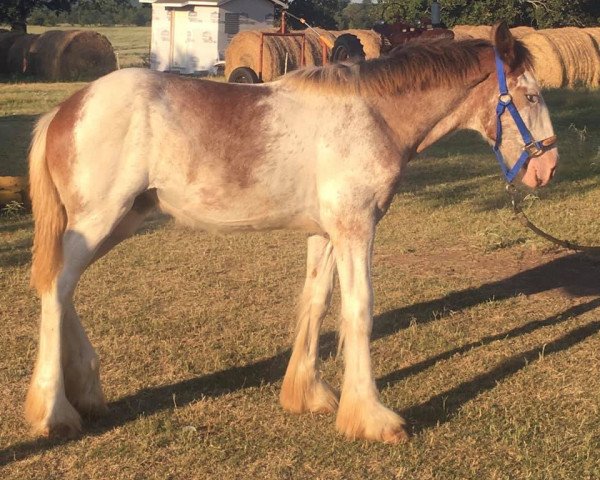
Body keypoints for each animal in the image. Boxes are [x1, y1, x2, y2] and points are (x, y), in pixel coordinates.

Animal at [24, 22, 556, 442]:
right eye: (530, 96)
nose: (547, 168)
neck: (371, 115)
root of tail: (68, 108)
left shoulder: (326, 234)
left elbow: (317, 302)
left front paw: (308, 394)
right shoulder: (355, 228)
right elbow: (359, 310)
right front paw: (372, 417)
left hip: (119, 222)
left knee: (62, 289)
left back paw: (87, 391)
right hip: (100, 221)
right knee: (55, 287)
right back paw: (53, 411)